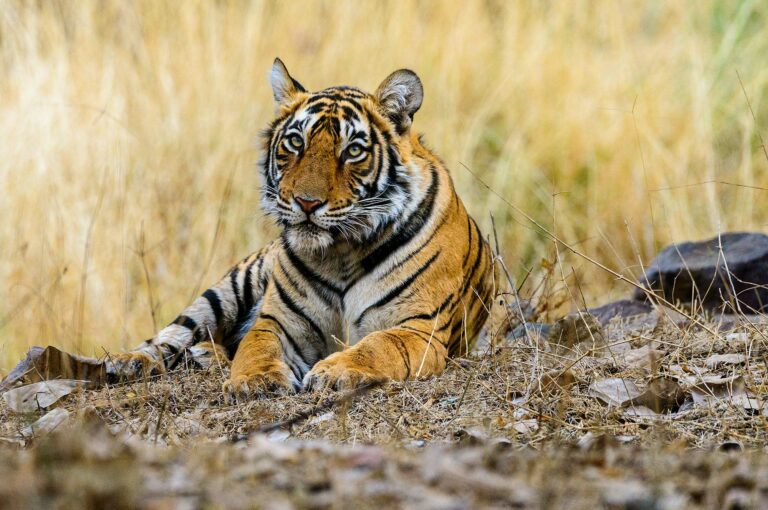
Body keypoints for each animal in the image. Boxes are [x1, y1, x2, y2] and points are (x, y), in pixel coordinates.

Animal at [109, 58, 498, 402]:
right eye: (296, 142)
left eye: (353, 150)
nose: (306, 203)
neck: (342, 253)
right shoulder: (278, 321)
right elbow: (256, 347)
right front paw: (257, 380)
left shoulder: (418, 327)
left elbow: (376, 345)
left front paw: (335, 372)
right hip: (227, 290)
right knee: (172, 334)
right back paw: (128, 362)